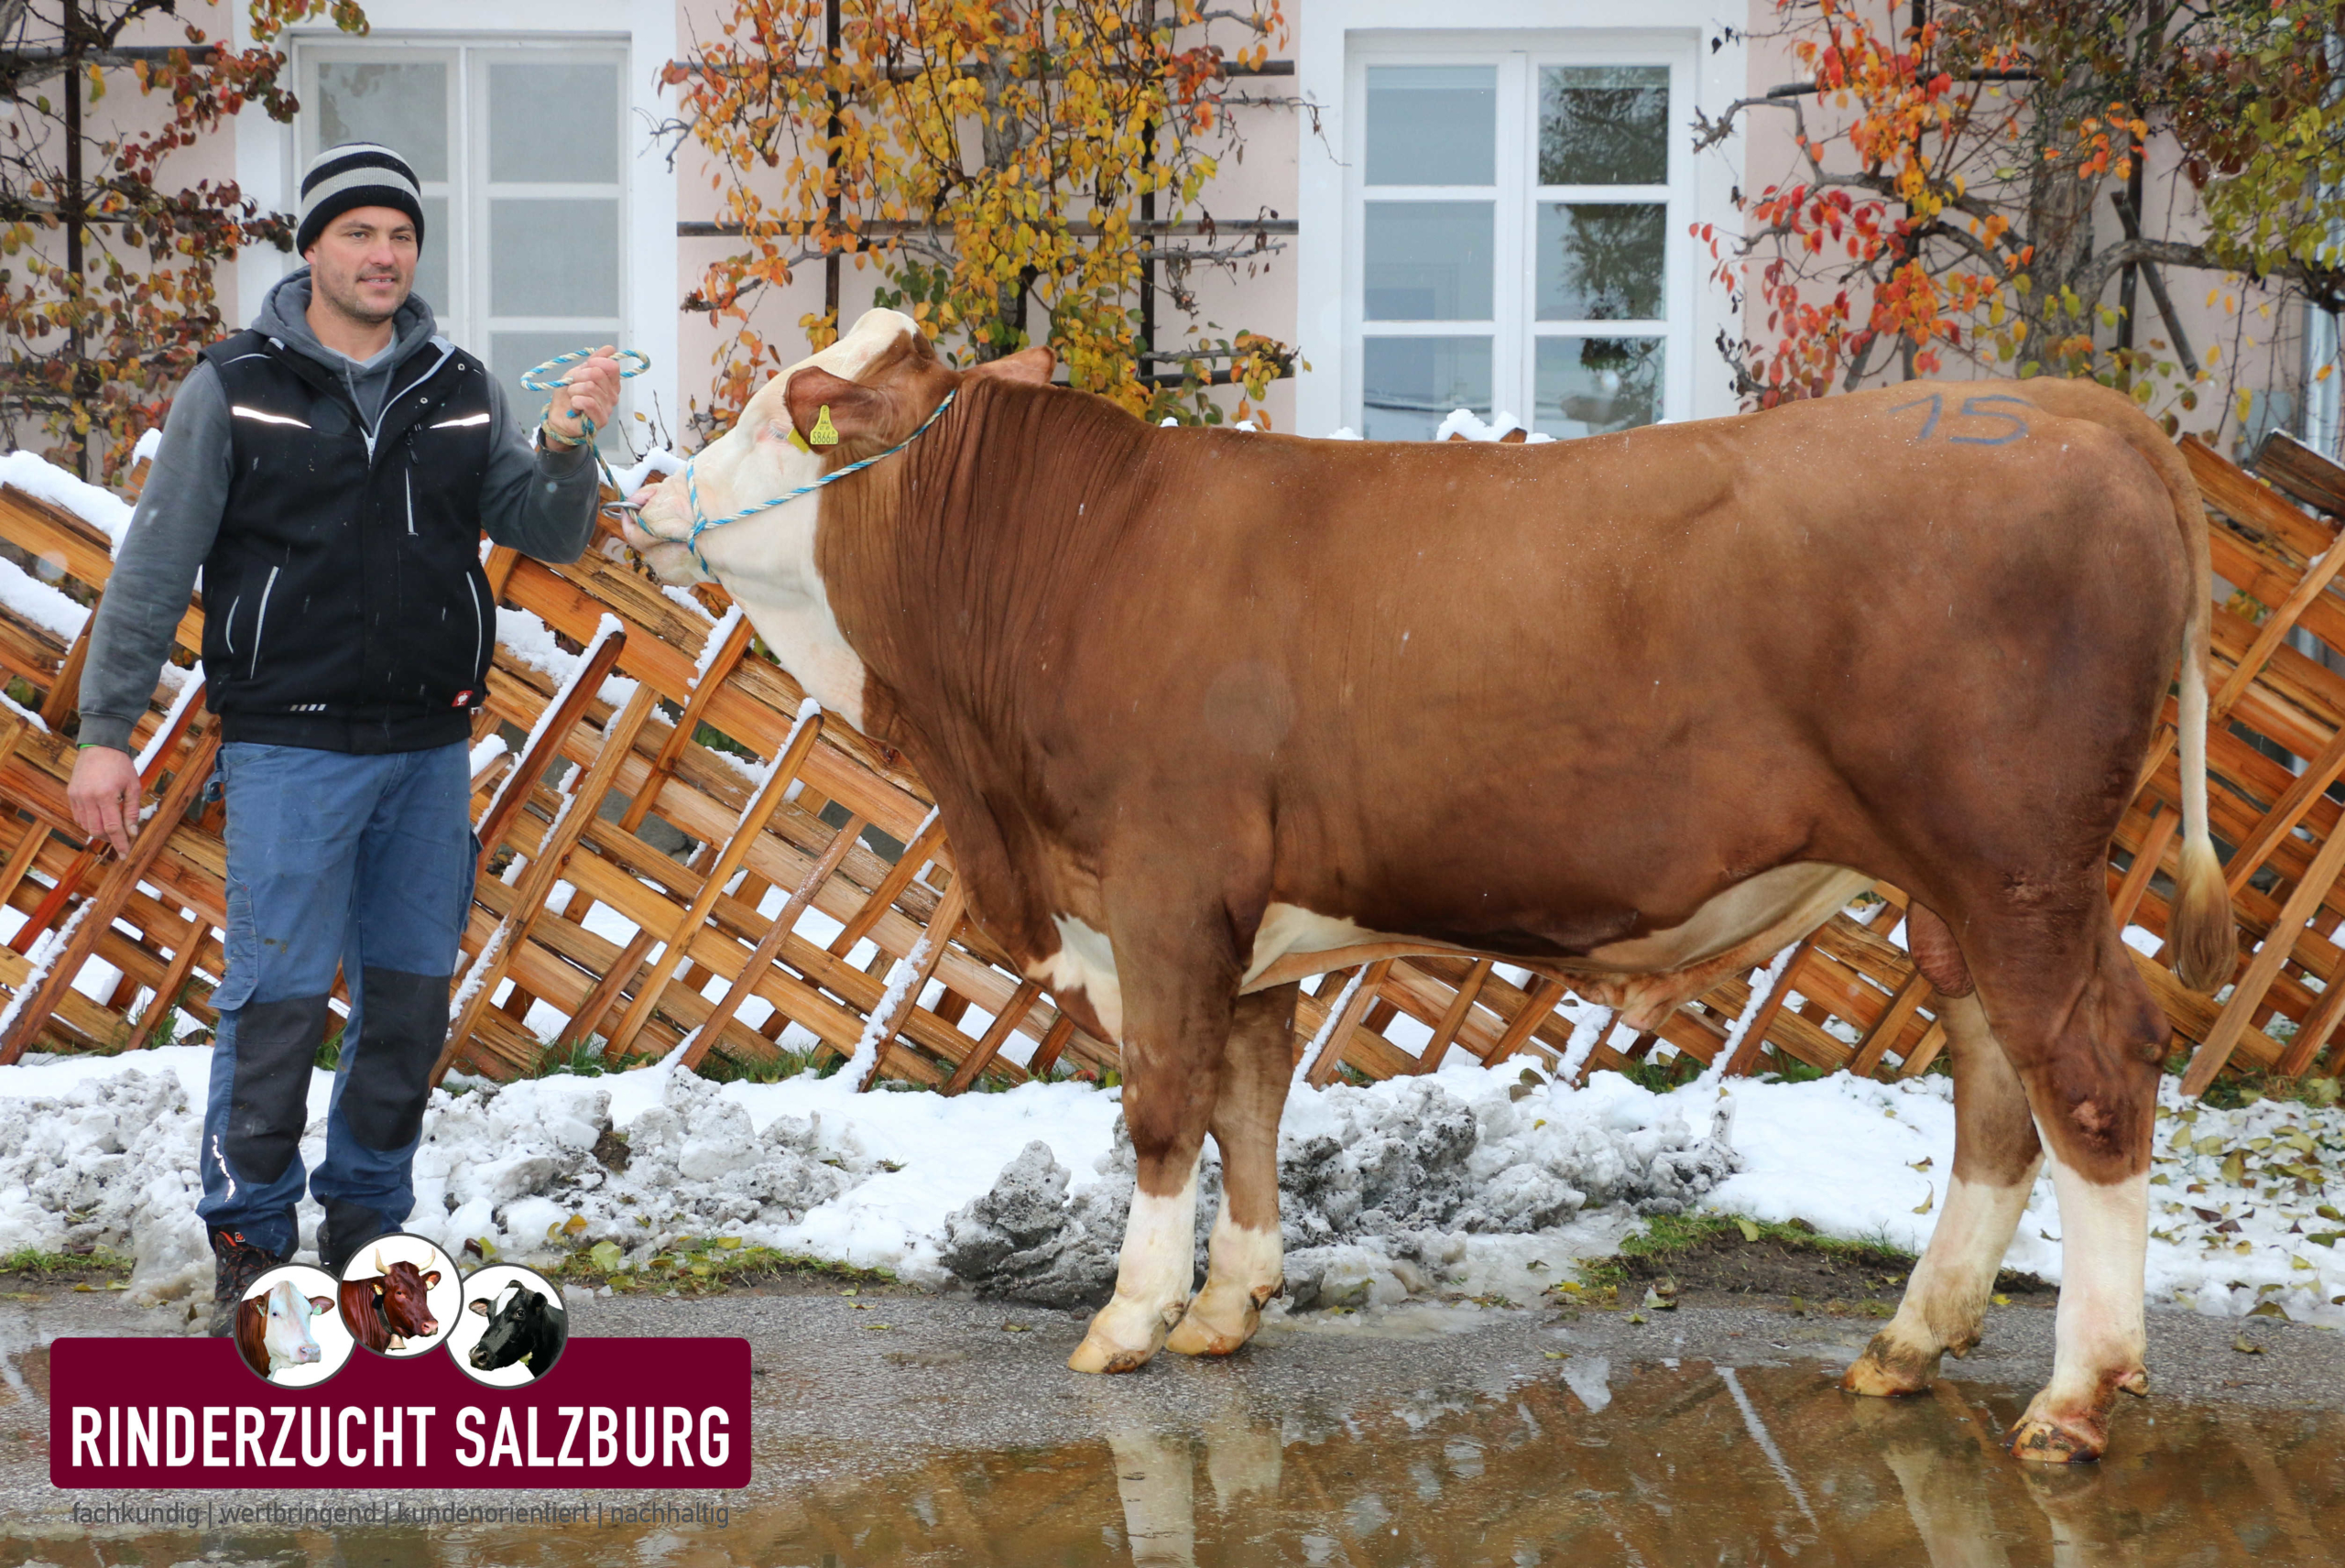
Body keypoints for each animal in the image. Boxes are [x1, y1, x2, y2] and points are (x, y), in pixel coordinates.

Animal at [623, 311, 2232, 1462]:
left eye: (777, 408)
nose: (638, 494)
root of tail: (2074, 408)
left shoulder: (1160, 884)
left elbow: (1162, 1105)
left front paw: (1130, 1316)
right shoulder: (1238, 920)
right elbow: (1247, 1102)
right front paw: (1229, 1304)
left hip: (2016, 865)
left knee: (2094, 1076)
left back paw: (2077, 1397)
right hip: (1957, 889)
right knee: (1998, 1084)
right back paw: (1910, 1344)